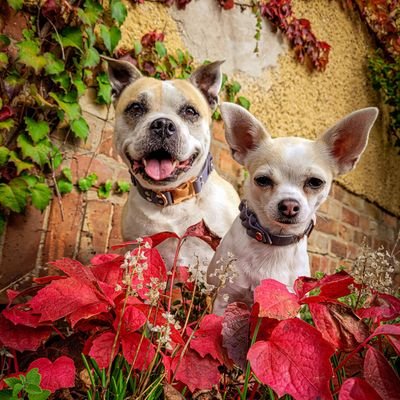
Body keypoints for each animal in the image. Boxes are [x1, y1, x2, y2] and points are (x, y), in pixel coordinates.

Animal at [208, 103, 380, 316]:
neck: (274, 242)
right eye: (262, 180)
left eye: (315, 182)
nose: (289, 205)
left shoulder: (288, 304)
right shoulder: (224, 299)